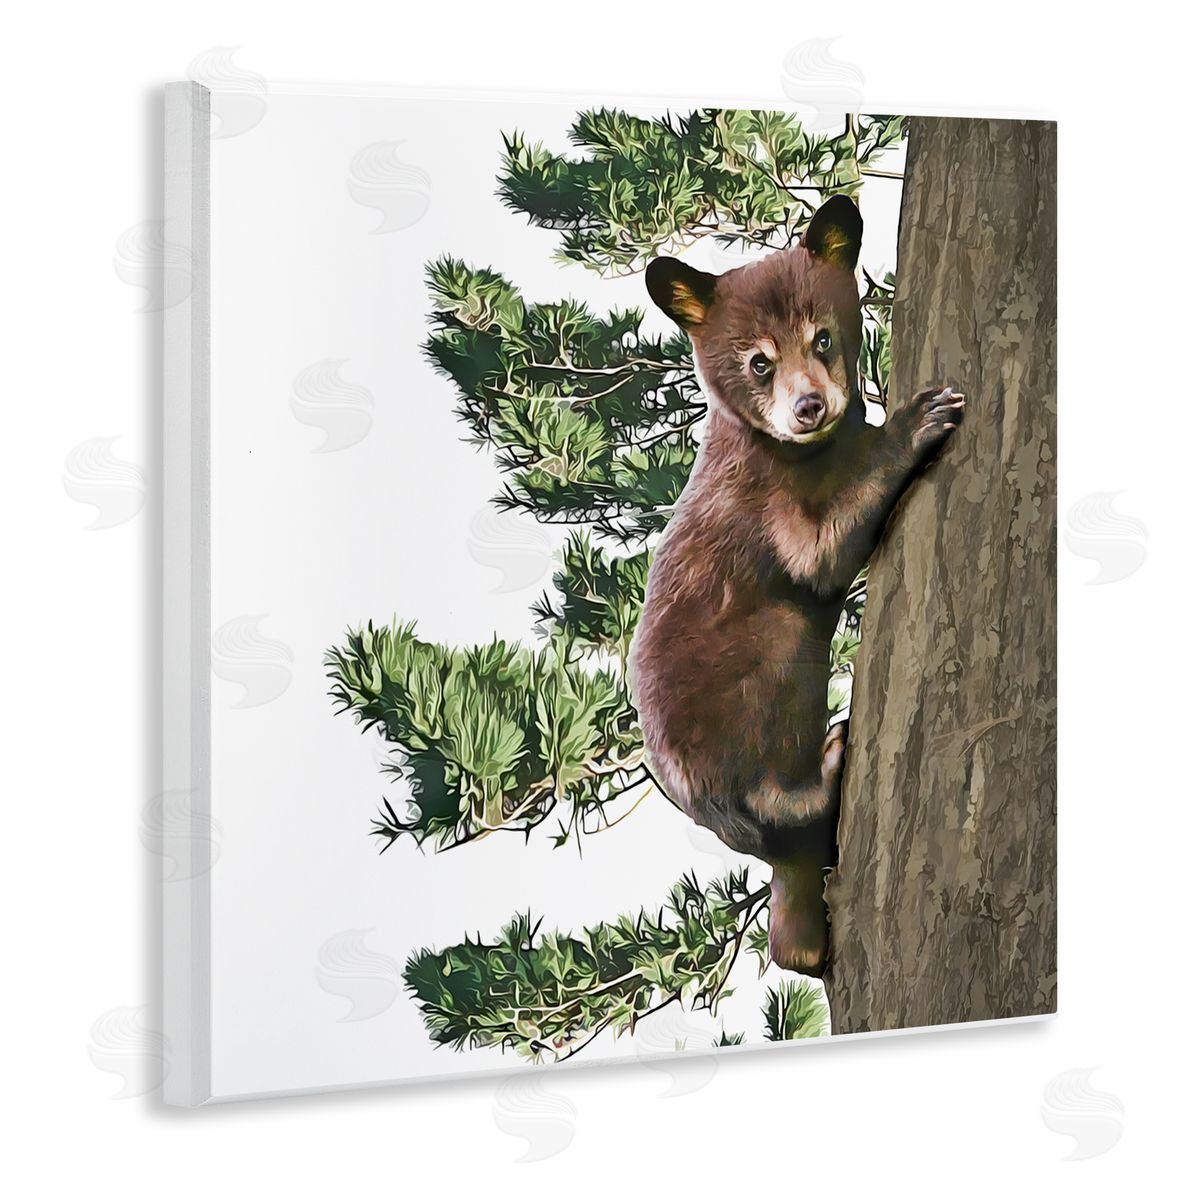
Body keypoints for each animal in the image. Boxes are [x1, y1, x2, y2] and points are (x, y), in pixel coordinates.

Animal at [628, 194, 964, 976]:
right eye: (759, 361)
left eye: (824, 338)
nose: (808, 406)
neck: (805, 450)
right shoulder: (761, 498)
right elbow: (818, 554)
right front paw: (917, 419)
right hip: (745, 694)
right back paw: (825, 769)